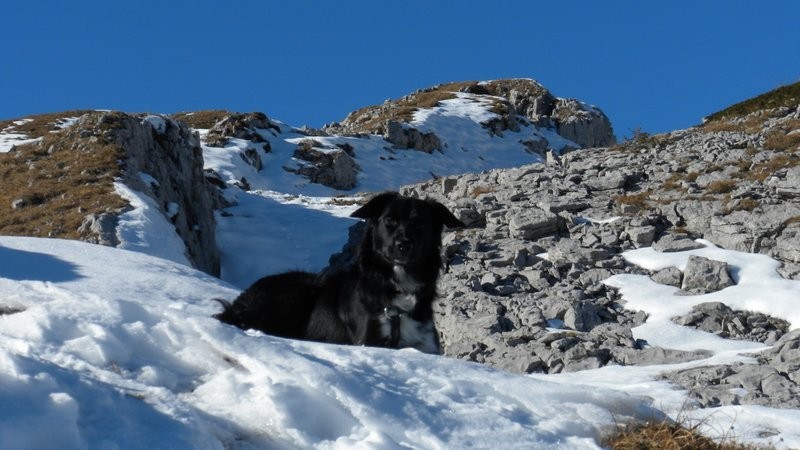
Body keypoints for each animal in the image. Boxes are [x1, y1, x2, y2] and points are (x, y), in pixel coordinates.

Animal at [214, 192, 462, 354]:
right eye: (389, 220)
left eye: (420, 223)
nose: (404, 245)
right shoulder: (369, 339)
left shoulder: (426, 344)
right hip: (296, 293)